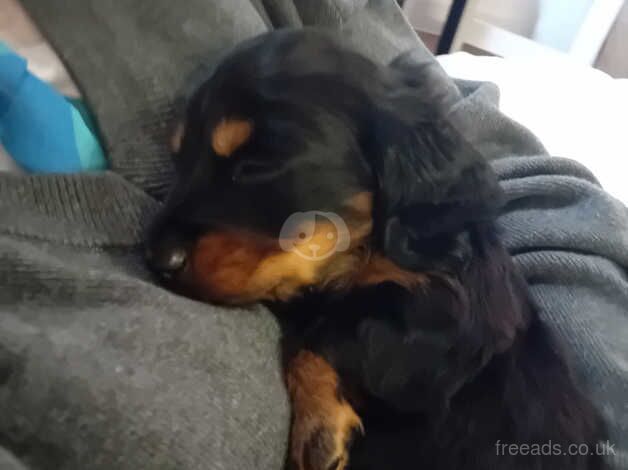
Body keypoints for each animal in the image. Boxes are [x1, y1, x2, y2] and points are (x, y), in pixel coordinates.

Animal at [147, 29, 608, 470]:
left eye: (258, 163)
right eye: (178, 160)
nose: (157, 261)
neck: (363, 249)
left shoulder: (452, 322)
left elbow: (323, 330)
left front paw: (318, 430)